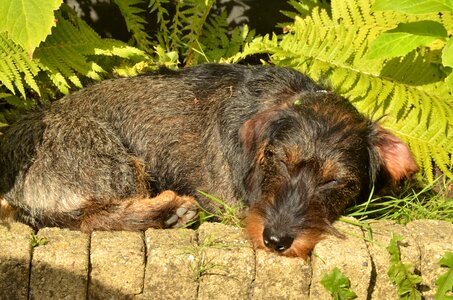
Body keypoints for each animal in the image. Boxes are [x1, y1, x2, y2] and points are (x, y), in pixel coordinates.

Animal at [0, 63, 416, 258]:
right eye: (278, 160)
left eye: (336, 182)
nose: (276, 240)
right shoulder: (233, 206)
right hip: (113, 159)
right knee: (91, 217)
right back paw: (168, 212)